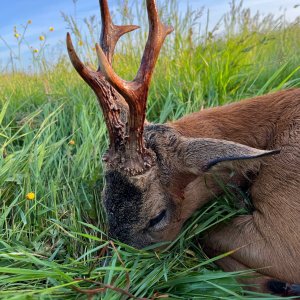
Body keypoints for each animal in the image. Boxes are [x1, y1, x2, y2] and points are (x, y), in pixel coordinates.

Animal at [67, 0, 300, 296]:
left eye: (157, 217)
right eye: (104, 202)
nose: (111, 284)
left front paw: (277, 284)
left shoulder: (284, 235)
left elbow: (206, 235)